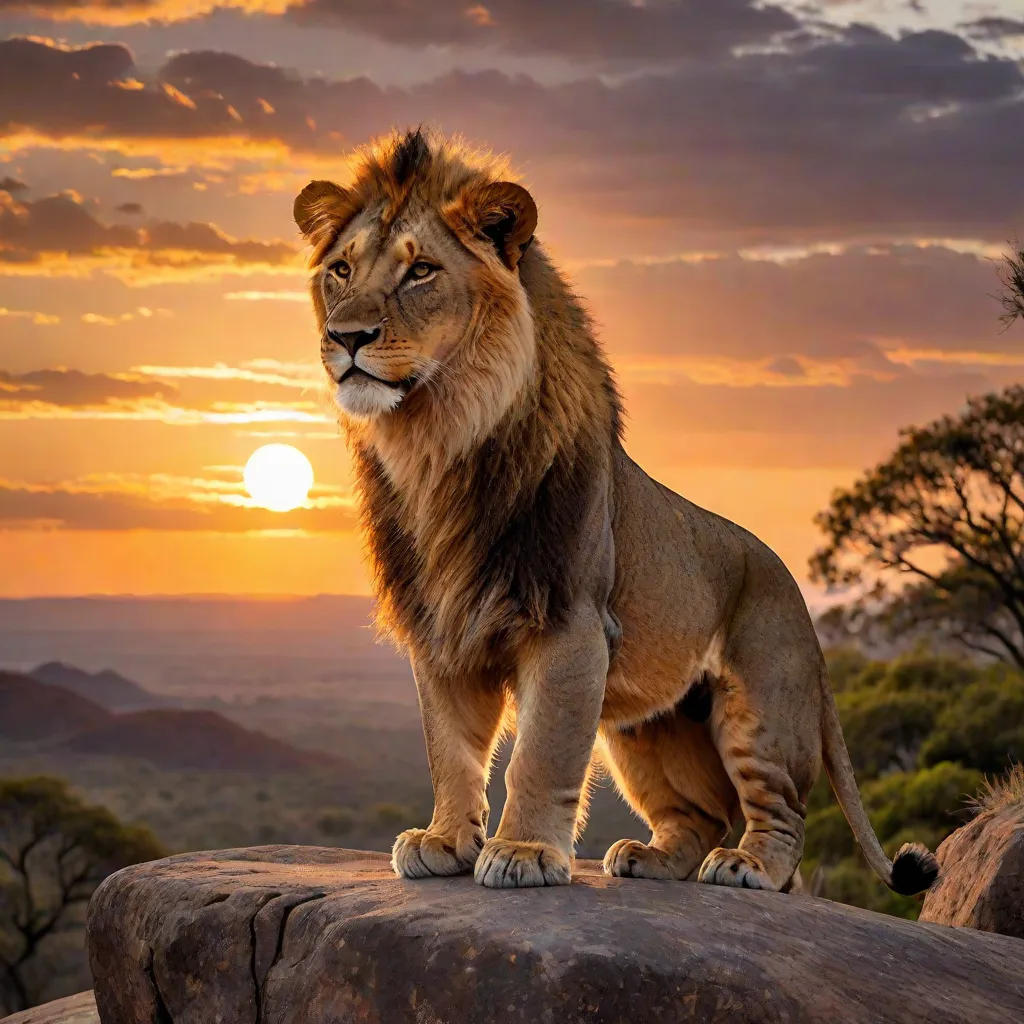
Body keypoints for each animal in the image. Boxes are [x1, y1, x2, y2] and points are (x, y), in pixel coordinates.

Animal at [294, 129, 939, 895]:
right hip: (644, 728)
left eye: (421, 270)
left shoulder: (570, 620)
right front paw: (446, 840)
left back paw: (748, 866)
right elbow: (450, 748)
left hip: (762, 709)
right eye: (341, 269)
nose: (346, 336)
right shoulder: (442, 625)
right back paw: (649, 858)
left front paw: (523, 853)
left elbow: (539, 752)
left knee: (782, 819)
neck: (439, 444)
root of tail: (801, 604)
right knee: (701, 814)